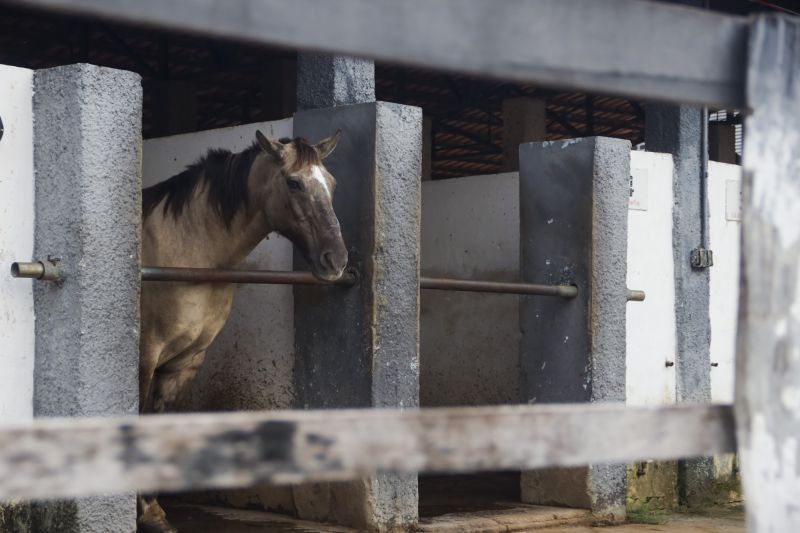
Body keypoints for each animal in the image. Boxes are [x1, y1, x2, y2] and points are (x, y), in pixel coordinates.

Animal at [135, 130, 346, 532]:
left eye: (331, 183)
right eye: (294, 183)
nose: (336, 260)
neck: (188, 250)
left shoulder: (184, 363)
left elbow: (157, 423)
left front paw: (152, 511)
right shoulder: (144, 358)